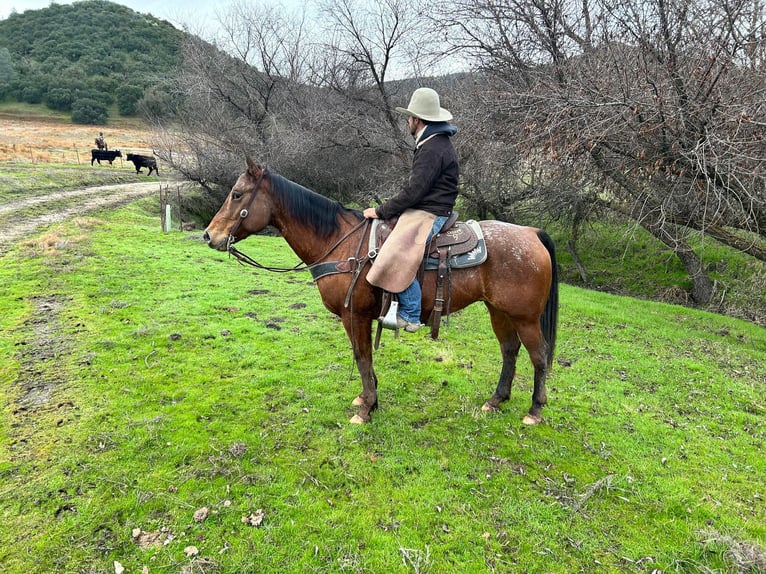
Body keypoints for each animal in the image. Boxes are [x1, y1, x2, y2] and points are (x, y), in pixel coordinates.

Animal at [202, 160, 560, 426]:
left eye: (237, 194)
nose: (209, 236)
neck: (340, 242)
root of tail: (532, 233)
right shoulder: (353, 318)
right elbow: (362, 356)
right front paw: (367, 399)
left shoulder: (355, 314)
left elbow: (362, 356)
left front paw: (366, 409)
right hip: (498, 310)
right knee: (510, 350)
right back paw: (496, 400)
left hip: (525, 317)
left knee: (539, 356)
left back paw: (534, 411)